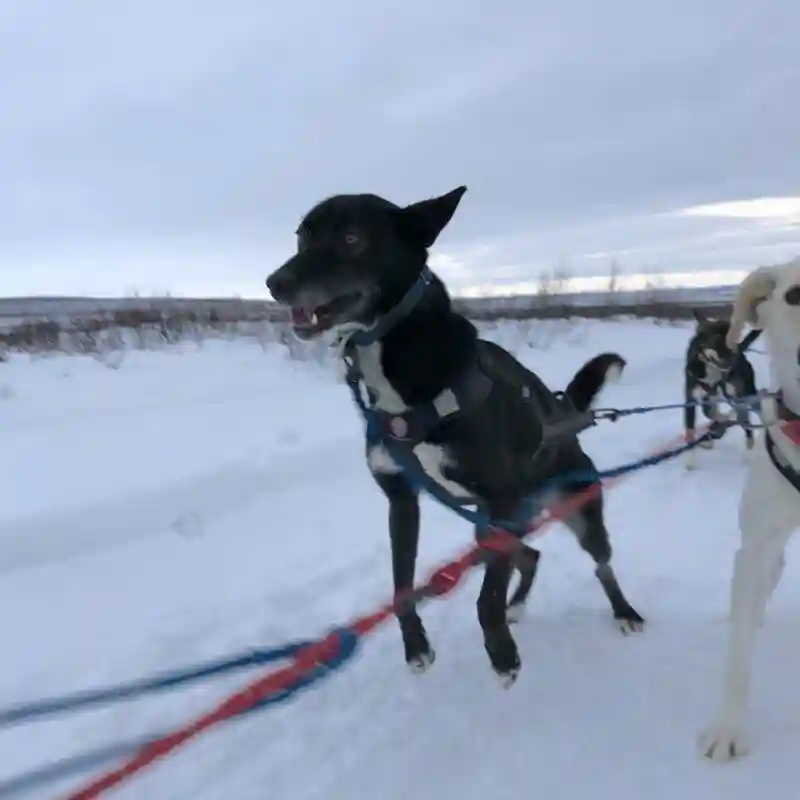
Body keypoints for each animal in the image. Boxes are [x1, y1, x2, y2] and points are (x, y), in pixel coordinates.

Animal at [268, 188, 644, 688]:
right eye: (301, 236)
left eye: (351, 238)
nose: (275, 283)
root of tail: (565, 416)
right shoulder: (402, 500)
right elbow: (402, 584)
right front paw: (417, 646)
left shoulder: (500, 500)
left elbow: (485, 598)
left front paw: (502, 654)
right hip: (498, 523)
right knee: (530, 556)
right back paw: (518, 606)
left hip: (572, 513)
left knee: (601, 564)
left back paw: (623, 612)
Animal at [684, 310, 760, 466]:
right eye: (718, 340)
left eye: (733, 339)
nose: (734, 360)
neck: (712, 372)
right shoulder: (691, 401)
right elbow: (690, 430)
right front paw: (690, 460)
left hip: (746, 395)